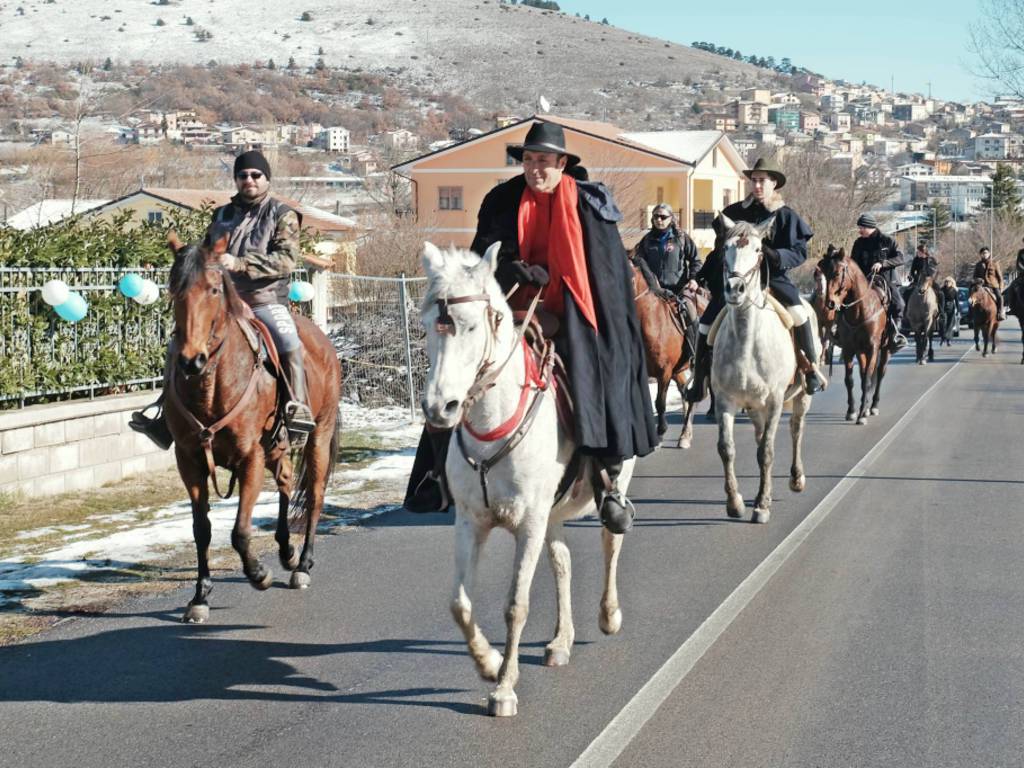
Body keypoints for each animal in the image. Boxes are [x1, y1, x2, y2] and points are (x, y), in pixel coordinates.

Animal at [165, 234, 342, 626]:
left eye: (214, 289)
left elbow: (240, 531)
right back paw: (287, 550)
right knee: (287, 480)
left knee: (315, 494)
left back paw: (302, 564)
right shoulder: (189, 461)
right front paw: (200, 596)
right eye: (173, 289)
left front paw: (258, 573)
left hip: (318, 436)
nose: (191, 360)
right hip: (276, 448)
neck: (212, 384)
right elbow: (202, 530)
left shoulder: (250, 458)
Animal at [417, 241, 630, 720]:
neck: (490, 424)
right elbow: (459, 603)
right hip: (552, 513)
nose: (440, 408)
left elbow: (516, 605)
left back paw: (609, 615)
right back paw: (561, 641)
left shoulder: (529, 523)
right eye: (427, 327)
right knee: (562, 561)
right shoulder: (470, 522)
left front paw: (504, 689)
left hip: (612, 483)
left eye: (471, 325)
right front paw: (489, 662)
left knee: (611, 540)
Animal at [630, 262, 704, 450]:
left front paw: (660, 432)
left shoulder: (664, 373)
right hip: (679, 371)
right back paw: (685, 434)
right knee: (687, 395)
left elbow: (659, 403)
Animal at [712, 219, 815, 528]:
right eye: (725, 248)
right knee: (760, 436)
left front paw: (762, 505)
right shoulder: (725, 400)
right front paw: (735, 503)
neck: (747, 341)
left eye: (759, 250)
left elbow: (767, 452)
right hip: (754, 407)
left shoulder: (775, 401)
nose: (735, 289)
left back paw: (796, 478)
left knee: (796, 429)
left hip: (801, 397)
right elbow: (727, 448)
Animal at [815, 246, 888, 428]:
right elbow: (850, 380)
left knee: (880, 373)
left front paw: (862, 414)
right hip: (860, 352)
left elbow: (868, 379)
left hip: (885, 350)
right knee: (863, 375)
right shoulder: (849, 349)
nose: (830, 303)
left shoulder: (873, 348)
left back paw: (873, 406)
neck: (860, 311)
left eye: (836, 273)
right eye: (823, 272)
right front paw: (852, 411)